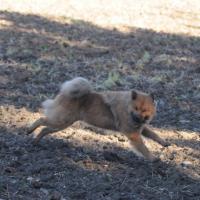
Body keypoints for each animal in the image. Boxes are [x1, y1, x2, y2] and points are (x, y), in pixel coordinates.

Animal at [27, 77, 169, 162]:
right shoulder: (133, 134)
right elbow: (143, 148)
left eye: (144, 110)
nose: (138, 117)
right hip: (61, 120)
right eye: (136, 108)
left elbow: (154, 134)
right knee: (41, 120)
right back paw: (29, 130)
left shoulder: (141, 129)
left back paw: (35, 141)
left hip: (63, 124)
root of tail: (65, 93)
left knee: (45, 129)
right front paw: (153, 158)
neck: (127, 107)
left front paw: (164, 143)